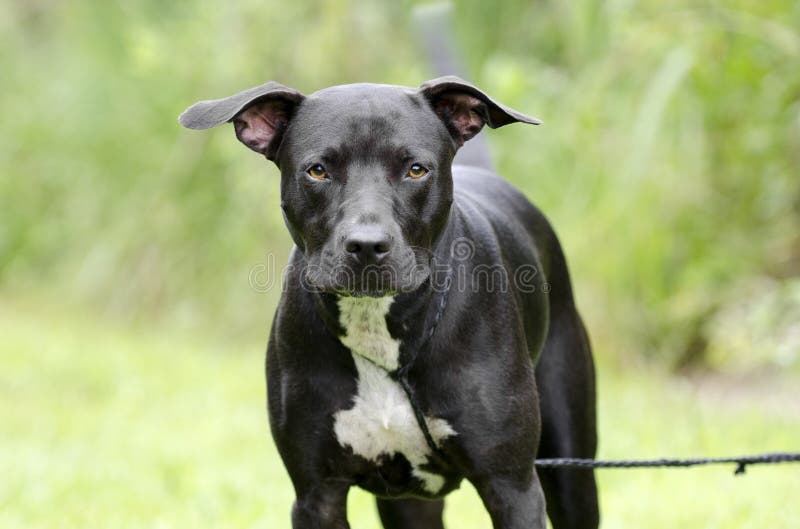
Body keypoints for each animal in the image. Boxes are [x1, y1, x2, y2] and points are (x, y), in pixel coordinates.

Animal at [180, 75, 592, 528]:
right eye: (318, 170)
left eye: (416, 169)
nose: (366, 246)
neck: (378, 328)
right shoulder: (316, 495)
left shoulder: (512, 487)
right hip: (409, 505)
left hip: (572, 468)